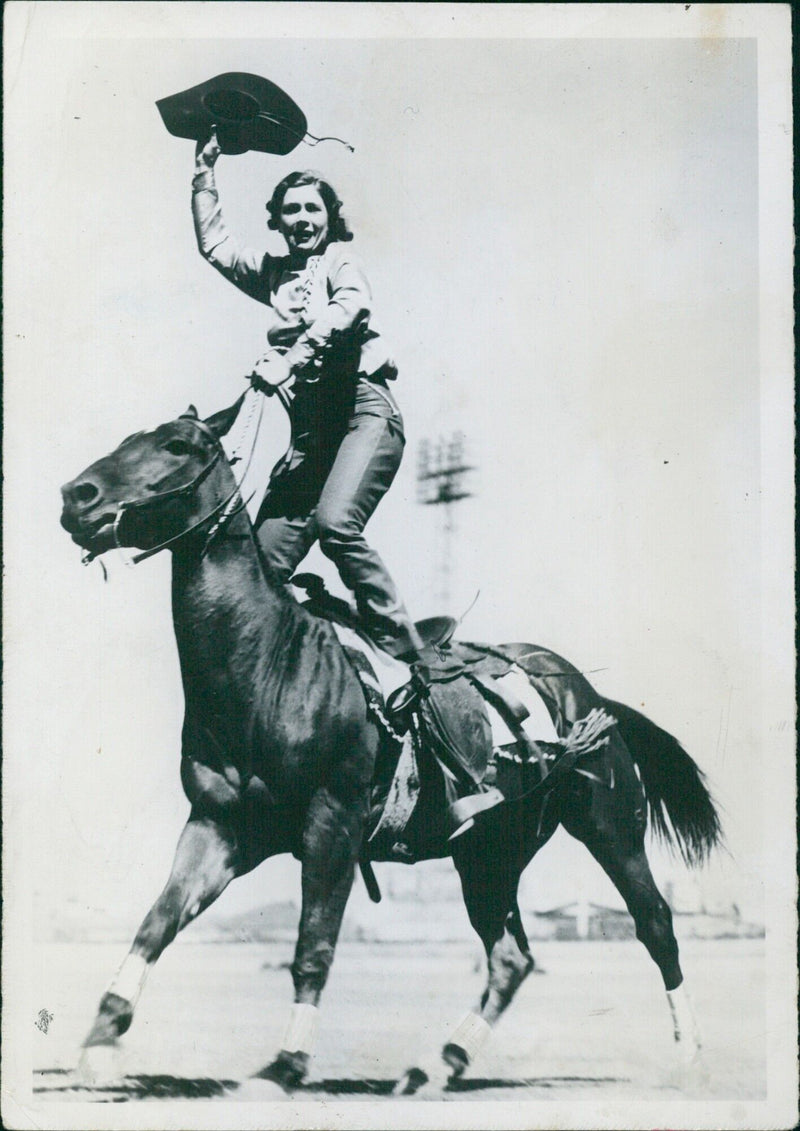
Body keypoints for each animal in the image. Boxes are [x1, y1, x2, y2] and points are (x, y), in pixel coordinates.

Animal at [59, 400, 724, 1094]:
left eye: (178, 445)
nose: (77, 496)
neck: (269, 662)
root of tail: (584, 693)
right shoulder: (219, 825)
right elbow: (155, 923)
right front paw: (100, 1041)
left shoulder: (334, 825)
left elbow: (313, 947)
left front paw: (284, 1064)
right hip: (488, 855)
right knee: (511, 958)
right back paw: (438, 1064)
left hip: (610, 825)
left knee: (656, 925)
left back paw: (689, 1057)